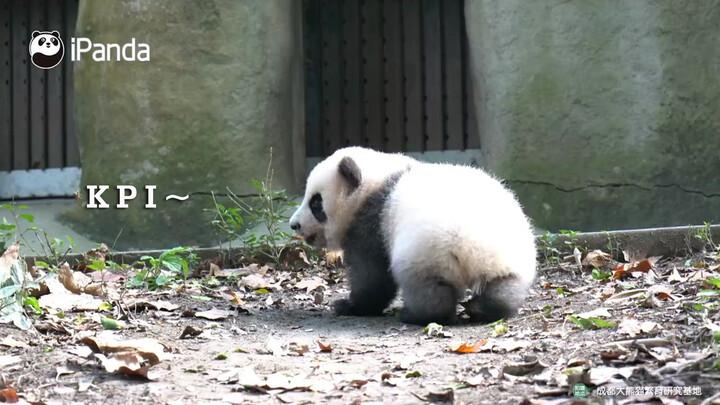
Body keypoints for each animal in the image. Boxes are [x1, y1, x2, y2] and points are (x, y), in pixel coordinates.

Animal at [290, 147, 536, 324]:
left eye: (315, 203)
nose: (295, 225)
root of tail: (474, 247)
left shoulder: (372, 223)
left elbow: (371, 276)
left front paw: (349, 306)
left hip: (427, 251)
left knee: (426, 288)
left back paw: (417, 315)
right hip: (509, 257)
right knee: (503, 286)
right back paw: (487, 309)